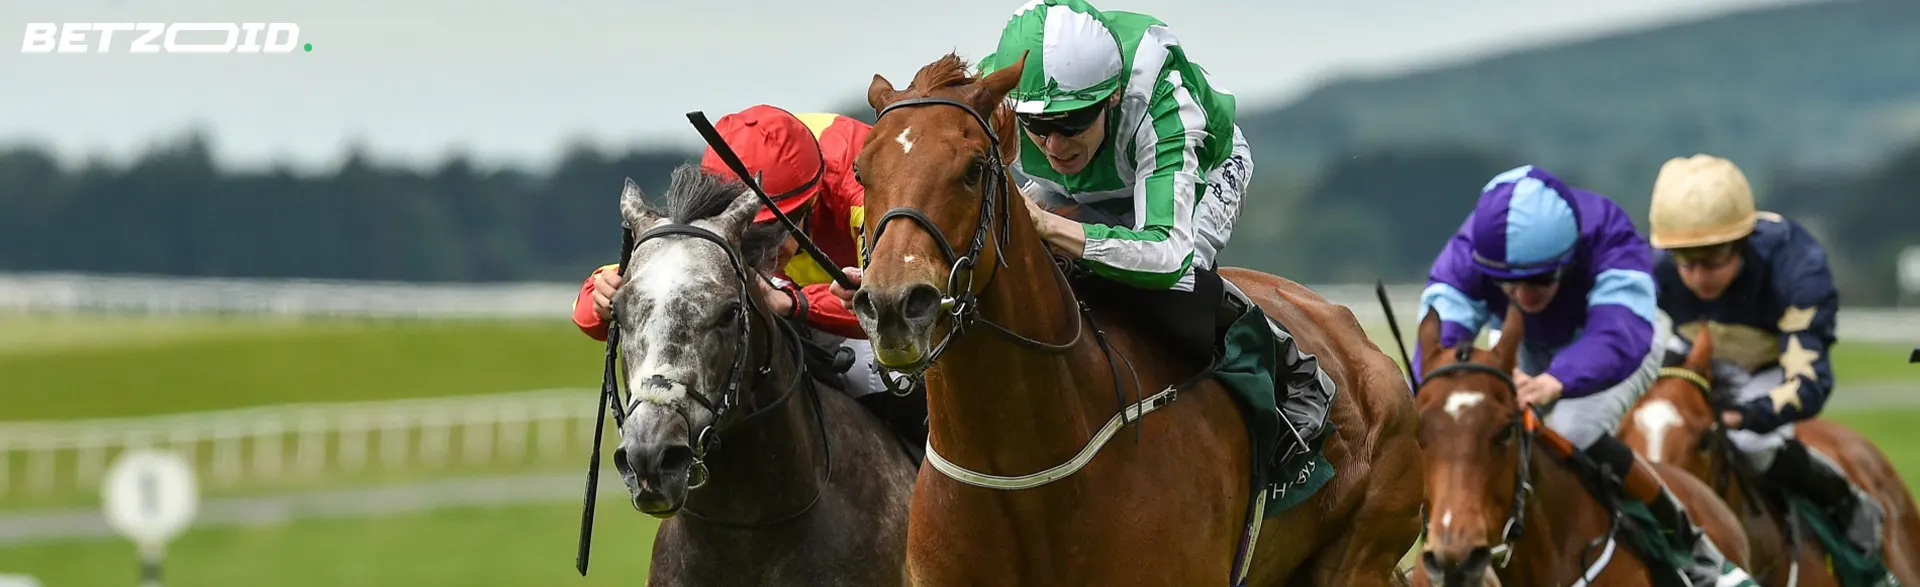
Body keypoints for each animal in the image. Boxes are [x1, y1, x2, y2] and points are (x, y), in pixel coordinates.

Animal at [844, 51, 1425, 586]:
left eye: (972, 170)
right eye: (861, 171)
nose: (895, 305)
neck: (1020, 470)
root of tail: (1356, 341)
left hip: (1358, 555)